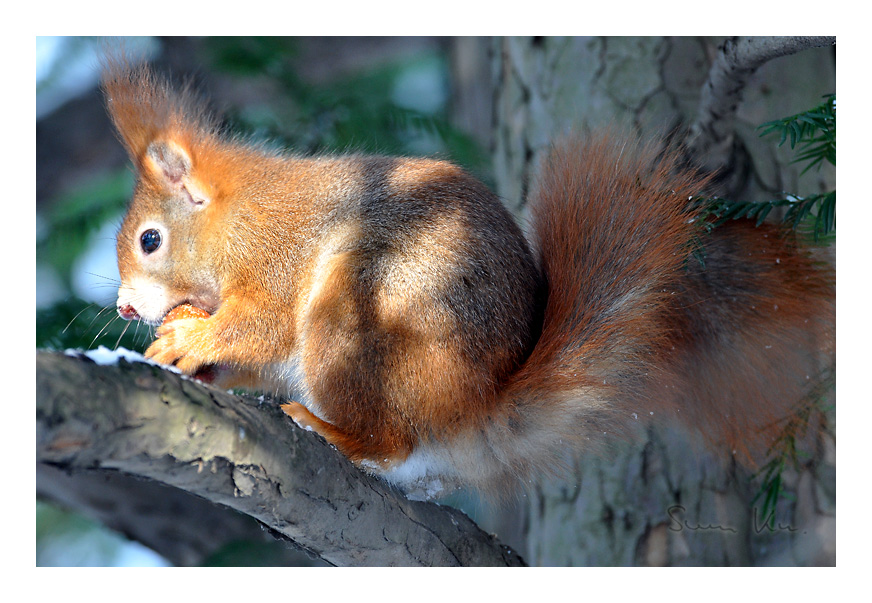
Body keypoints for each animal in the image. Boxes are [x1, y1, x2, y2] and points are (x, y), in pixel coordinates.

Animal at [105, 59, 836, 500]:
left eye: (149, 240)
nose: (123, 309)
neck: (236, 220)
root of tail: (473, 408)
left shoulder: (277, 257)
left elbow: (260, 325)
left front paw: (191, 339)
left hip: (353, 320)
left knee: (390, 441)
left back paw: (327, 428)